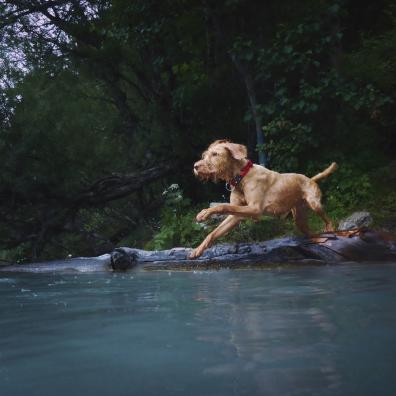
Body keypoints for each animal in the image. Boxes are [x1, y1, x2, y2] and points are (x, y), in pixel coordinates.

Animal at [189, 140, 338, 260]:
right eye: (204, 155)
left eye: (215, 154)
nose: (195, 166)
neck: (241, 177)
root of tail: (310, 179)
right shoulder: (236, 216)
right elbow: (213, 233)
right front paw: (198, 250)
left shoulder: (255, 209)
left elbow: (222, 206)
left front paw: (205, 213)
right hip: (299, 219)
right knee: (312, 234)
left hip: (315, 204)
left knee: (329, 221)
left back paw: (331, 232)